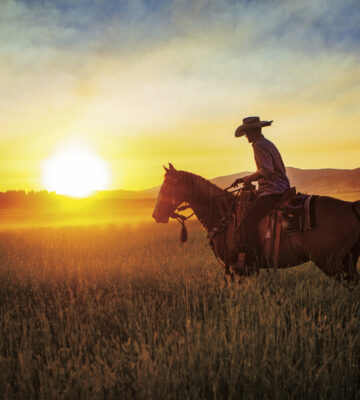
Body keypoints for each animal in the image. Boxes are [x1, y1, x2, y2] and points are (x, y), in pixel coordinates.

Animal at [153, 162, 360, 282]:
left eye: (168, 185)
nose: (156, 215)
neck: (224, 214)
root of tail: (350, 206)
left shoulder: (238, 267)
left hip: (330, 263)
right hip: (346, 261)